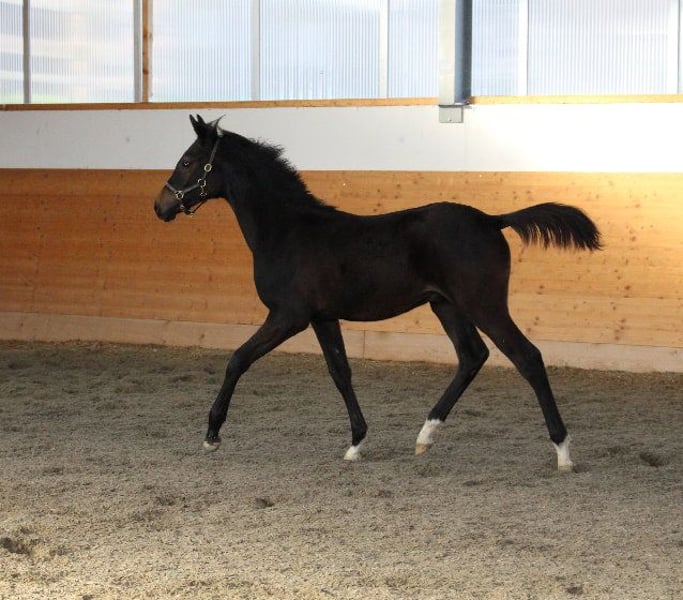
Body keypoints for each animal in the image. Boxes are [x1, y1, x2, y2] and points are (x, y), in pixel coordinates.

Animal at [154, 115, 601, 472]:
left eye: (188, 161)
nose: (160, 207)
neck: (288, 231)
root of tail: (492, 219)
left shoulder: (288, 316)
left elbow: (238, 359)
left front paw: (212, 434)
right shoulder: (322, 317)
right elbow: (340, 372)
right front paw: (356, 443)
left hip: (484, 305)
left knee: (528, 358)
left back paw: (563, 452)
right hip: (447, 306)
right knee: (472, 356)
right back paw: (425, 436)